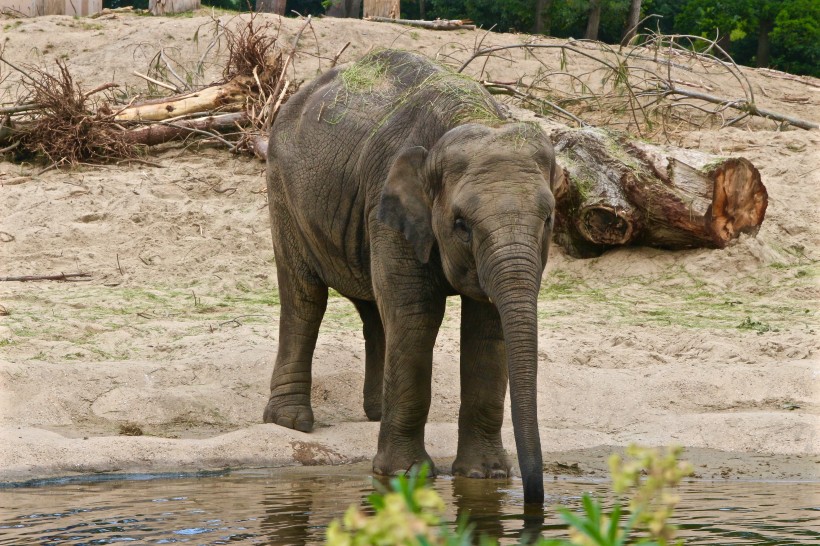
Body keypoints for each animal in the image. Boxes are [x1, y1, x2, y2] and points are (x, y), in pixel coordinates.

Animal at [266, 49, 560, 504]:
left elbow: (487, 326)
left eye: (548, 219)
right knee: (305, 297)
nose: (532, 499)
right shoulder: (389, 206)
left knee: (373, 309)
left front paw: (485, 476)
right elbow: (416, 316)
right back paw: (290, 422)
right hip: (283, 189)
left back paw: (376, 413)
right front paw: (404, 475)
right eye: (461, 224)